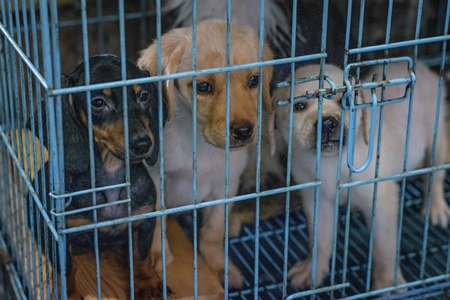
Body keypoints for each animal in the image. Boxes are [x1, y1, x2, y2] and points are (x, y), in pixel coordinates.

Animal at [29, 54, 167, 300]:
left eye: (144, 96)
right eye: (98, 102)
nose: (143, 144)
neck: (111, 174)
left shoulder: (145, 221)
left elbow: (140, 255)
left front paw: (147, 283)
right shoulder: (61, 237)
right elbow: (67, 269)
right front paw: (69, 294)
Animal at [274, 61, 450, 292]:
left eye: (347, 102)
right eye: (299, 107)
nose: (328, 123)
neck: (333, 163)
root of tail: (421, 67)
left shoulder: (382, 202)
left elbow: (384, 246)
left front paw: (388, 281)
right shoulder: (317, 201)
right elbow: (319, 240)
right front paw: (312, 270)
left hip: (436, 137)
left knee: (435, 176)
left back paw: (436, 207)